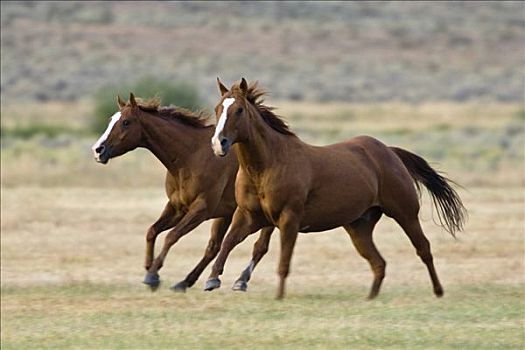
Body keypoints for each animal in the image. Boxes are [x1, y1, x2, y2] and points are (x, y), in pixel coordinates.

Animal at [91, 93, 274, 292]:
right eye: (111, 120)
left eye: (126, 122)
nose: (98, 150)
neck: (190, 157)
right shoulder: (177, 207)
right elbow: (152, 231)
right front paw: (149, 266)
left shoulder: (200, 210)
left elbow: (171, 236)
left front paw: (152, 275)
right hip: (227, 214)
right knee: (215, 246)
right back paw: (188, 281)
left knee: (259, 247)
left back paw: (240, 280)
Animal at [203, 78, 464, 300]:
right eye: (217, 108)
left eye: (239, 110)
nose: (218, 143)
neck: (267, 166)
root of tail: (389, 152)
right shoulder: (249, 215)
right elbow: (228, 242)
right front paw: (213, 279)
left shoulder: (289, 219)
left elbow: (282, 260)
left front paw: (278, 296)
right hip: (359, 227)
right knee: (378, 263)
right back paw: (370, 299)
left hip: (405, 214)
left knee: (423, 249)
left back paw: (438, 291)